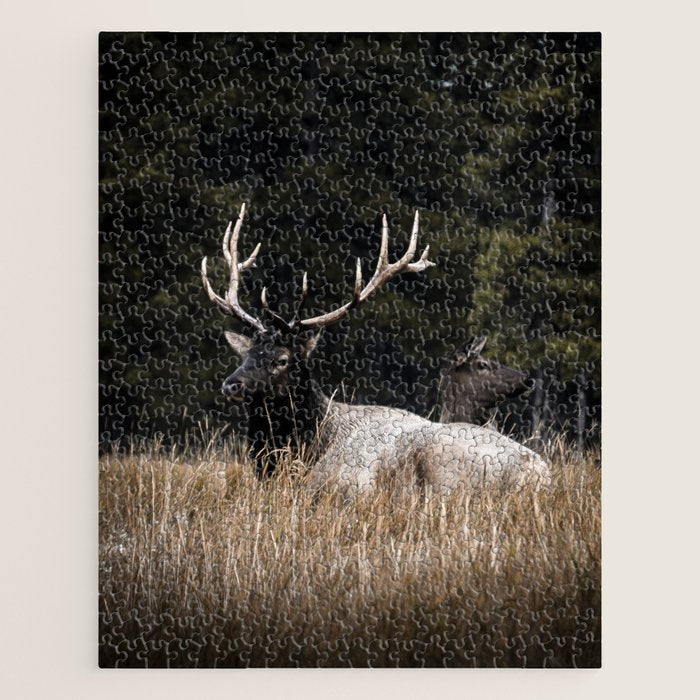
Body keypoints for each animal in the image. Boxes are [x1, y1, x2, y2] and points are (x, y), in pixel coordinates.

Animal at [201, 204, 551, 496]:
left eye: (282, 360)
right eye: (246, 355)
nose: (231, 385)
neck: (309, 445)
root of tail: (540, 473)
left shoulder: (353, 485)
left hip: (443, 467)